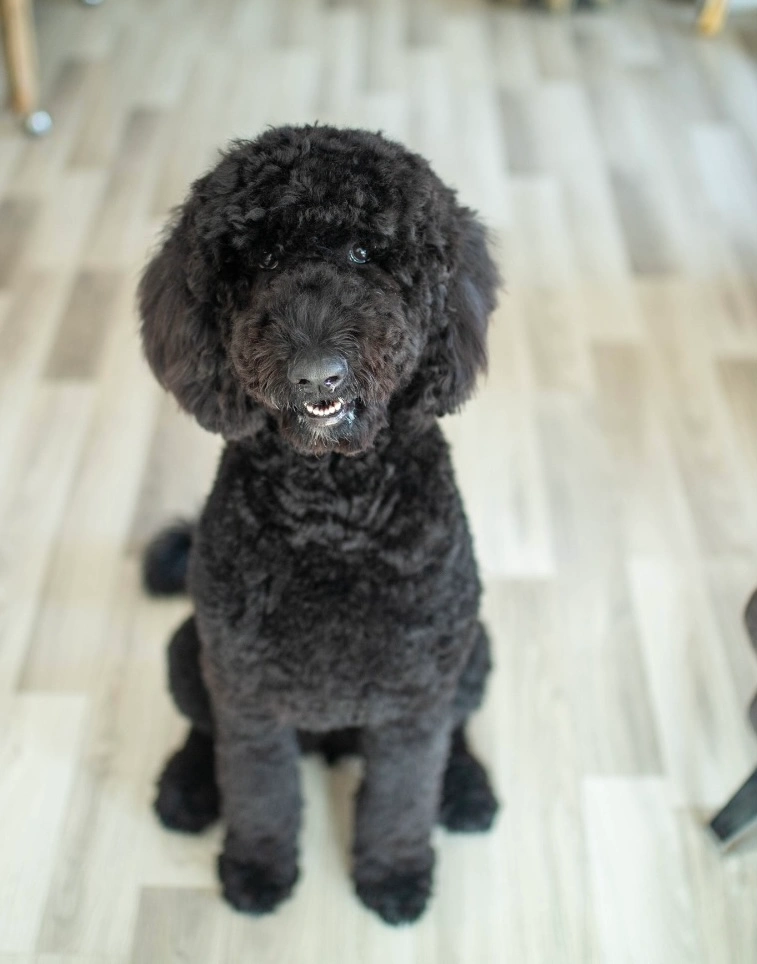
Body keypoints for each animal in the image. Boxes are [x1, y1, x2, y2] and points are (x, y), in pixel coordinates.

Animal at [139, 124, 501, 925]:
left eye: (365, 253)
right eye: (264, 260)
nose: (316, 372)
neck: (334, 510)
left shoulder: (413, 698)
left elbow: (402, 795)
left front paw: (394, 876)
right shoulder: (248, 693)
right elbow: (259, 790)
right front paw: (256, 870)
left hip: (472, 654)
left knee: (457, 731)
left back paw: (466, 789)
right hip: (185, 651)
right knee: (199, 730)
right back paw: (187, 788)